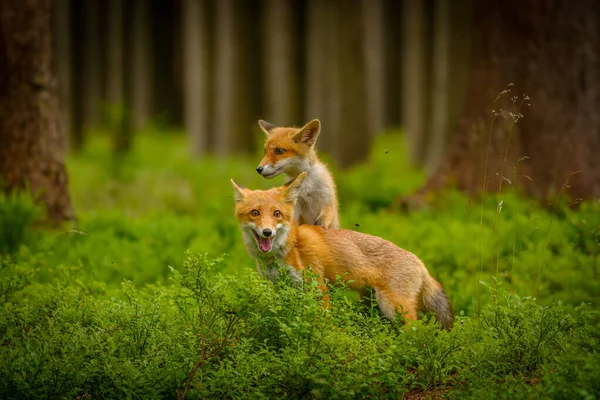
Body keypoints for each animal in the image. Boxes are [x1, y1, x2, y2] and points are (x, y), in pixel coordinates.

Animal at [231, 172, 454, 328]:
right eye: (255, 213)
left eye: (276, 214)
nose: (267, 232)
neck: (288, 249)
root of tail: (419, 260)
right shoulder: (279, 288)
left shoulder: (317, 288)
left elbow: (323, 322)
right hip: (373, 304)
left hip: (393, 308)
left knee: (418, 331)